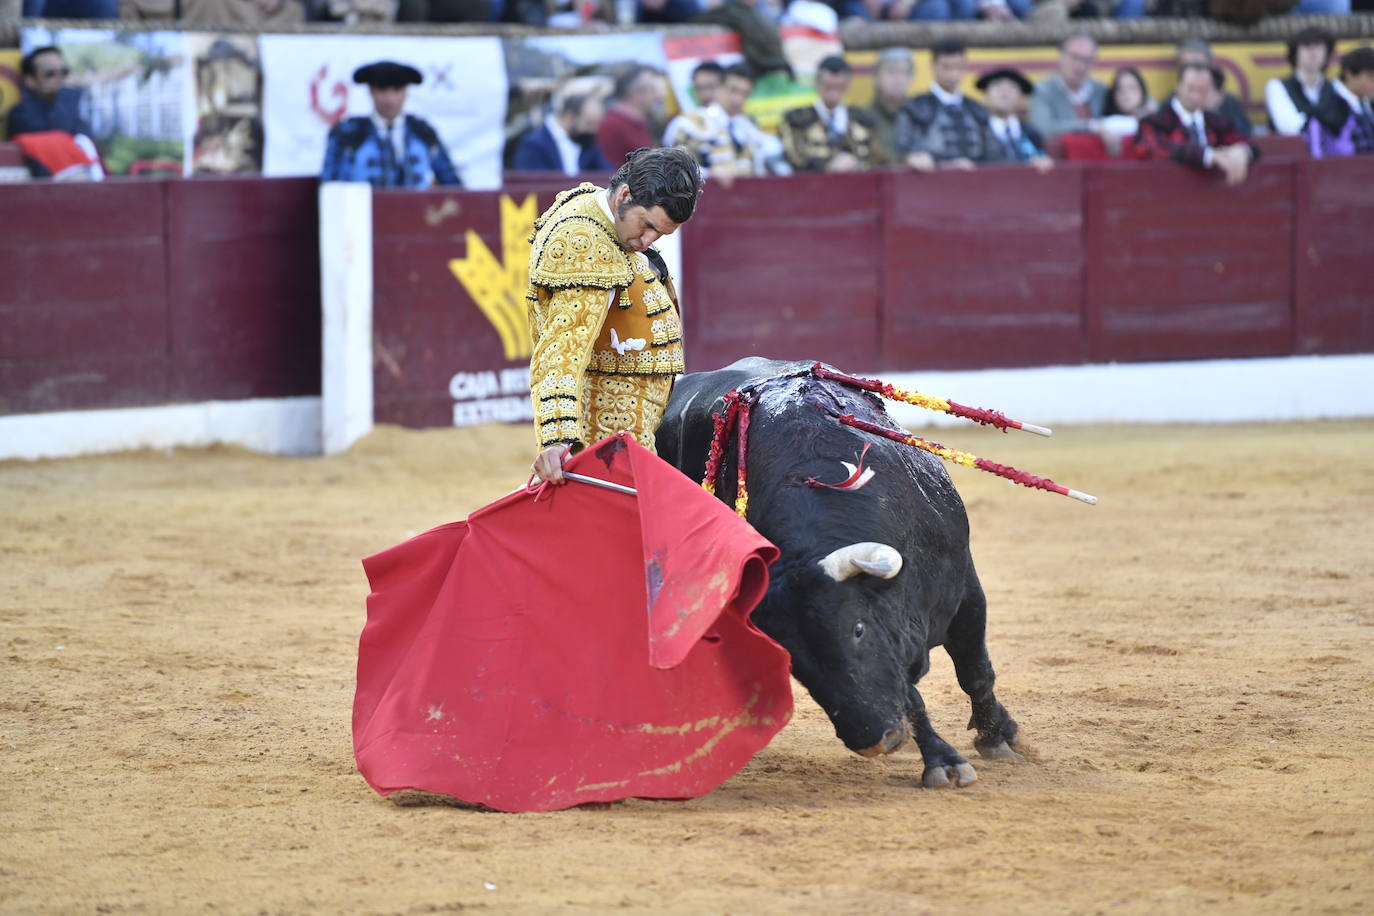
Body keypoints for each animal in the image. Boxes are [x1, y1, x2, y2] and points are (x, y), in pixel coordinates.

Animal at [656, 357, 1033, 791]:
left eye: (857, 629)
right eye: (793, 662)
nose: (872, 740)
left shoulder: (965, 589)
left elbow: (975, 671)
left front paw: (998, 737)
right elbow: (908, 695)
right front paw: (943, 761)